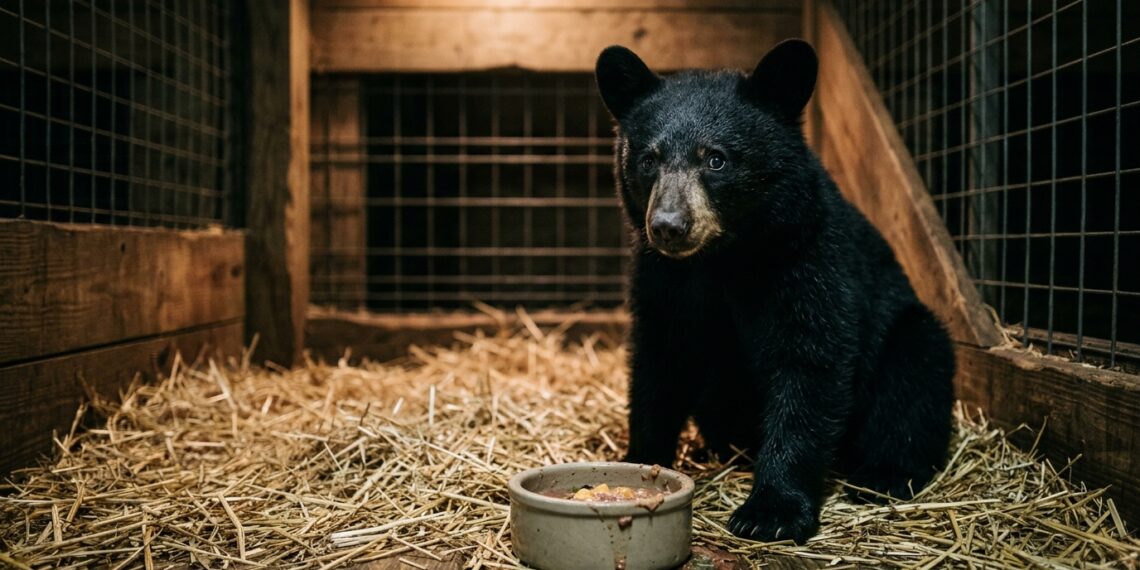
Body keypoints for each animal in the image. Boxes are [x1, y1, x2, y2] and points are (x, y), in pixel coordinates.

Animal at [594, 39, 956, 544]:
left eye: (716, 159)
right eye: (648, 159)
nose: (668, 225)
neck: (723, 258)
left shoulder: (808, 260)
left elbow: (809, 365)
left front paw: (771, 511)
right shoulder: (663, 281)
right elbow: (658, 363)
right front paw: (638, 460)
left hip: (910, 332)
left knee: (915, 378)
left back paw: (883, 474)